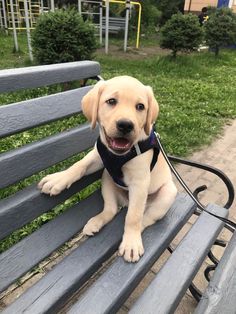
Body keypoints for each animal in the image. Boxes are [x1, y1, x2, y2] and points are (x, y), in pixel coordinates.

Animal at [37, 75, 176, 262]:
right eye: (111, 101)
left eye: (140, 106)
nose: (126, 125)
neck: (118, 155)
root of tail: (126, 202)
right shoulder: (98, 157)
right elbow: (79, 165)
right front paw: (58, 179)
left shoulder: (140, 182)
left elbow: (133, 217)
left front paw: (131, 243)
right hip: (107, 179)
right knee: (110, 209)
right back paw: (96, 222)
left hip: (167, 194)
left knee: (144, 218)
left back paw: (133, 237)